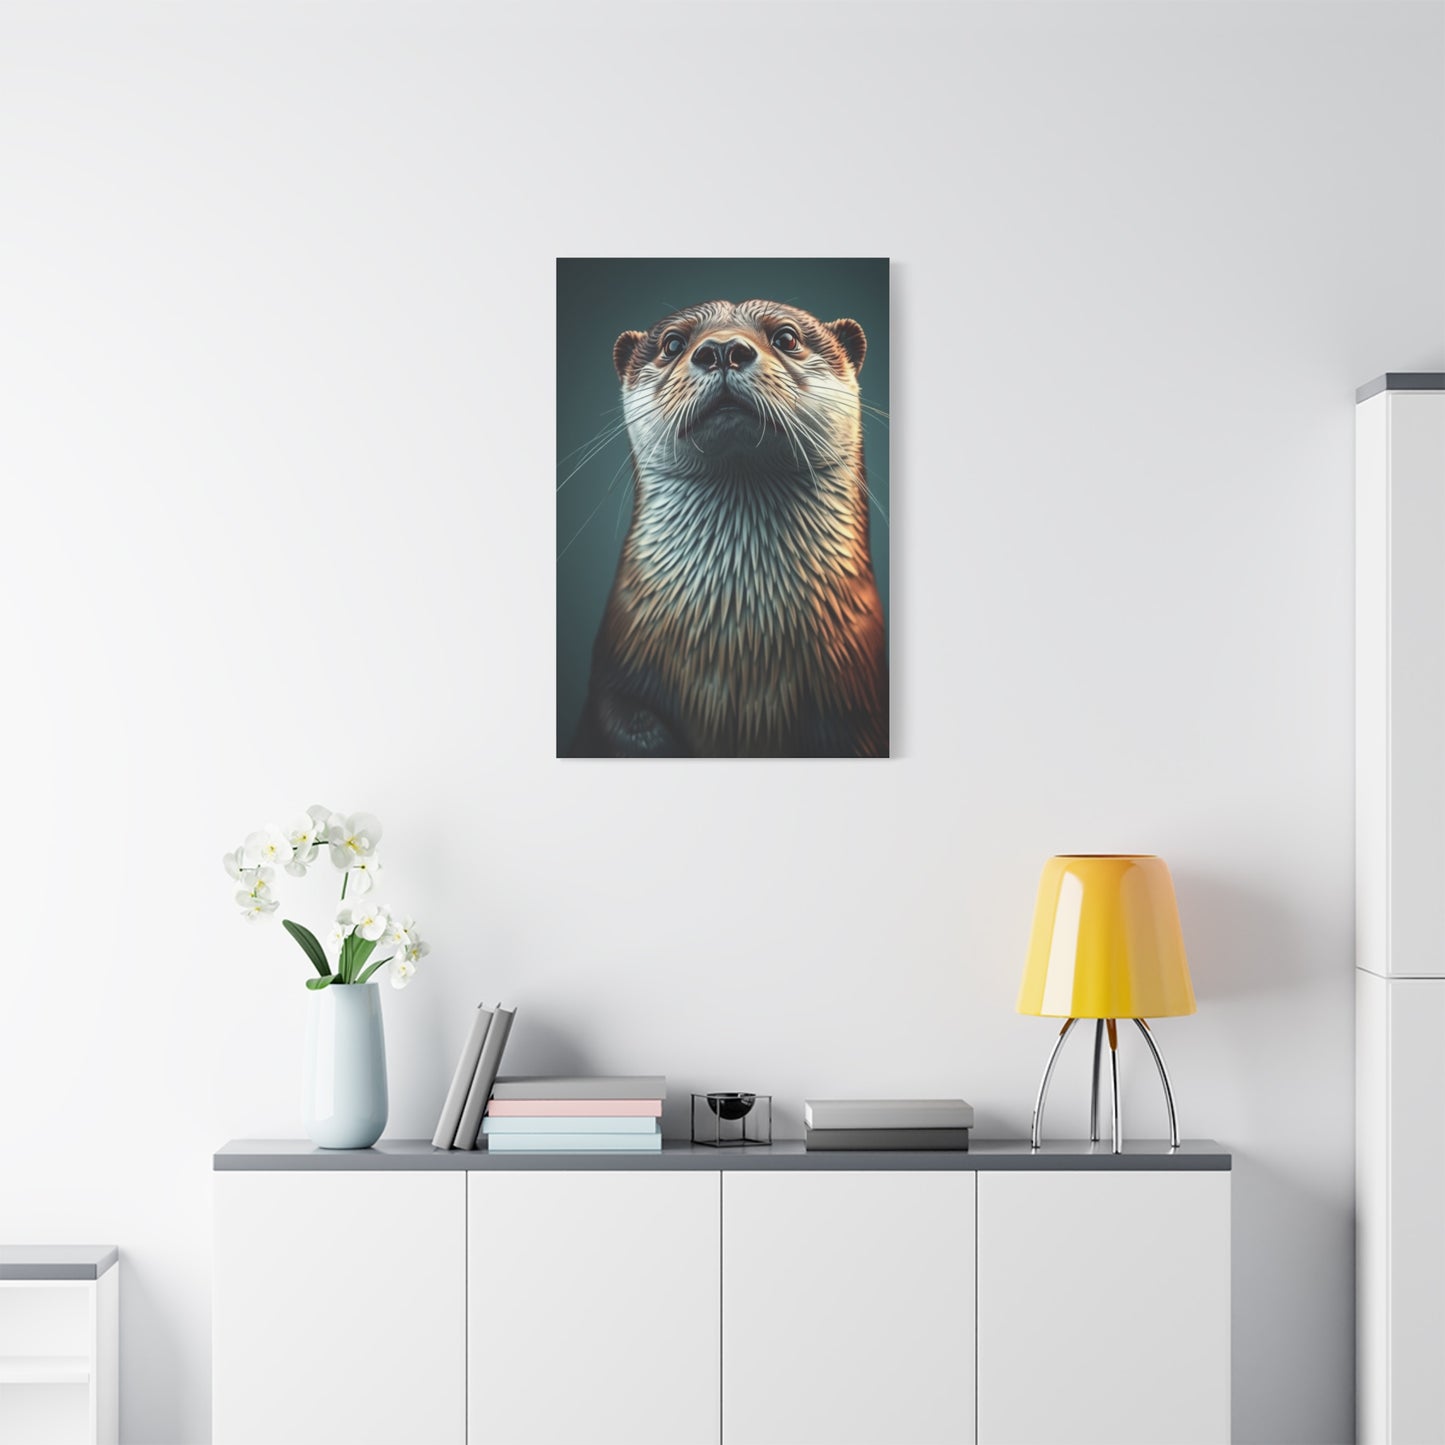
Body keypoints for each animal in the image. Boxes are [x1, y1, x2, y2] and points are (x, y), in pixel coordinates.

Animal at [570, 299, 888, 758]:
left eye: (786, 337)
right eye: (673, 343)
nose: (721, 350)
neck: (739, 644)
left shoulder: (860, 698)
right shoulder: (614, 682)